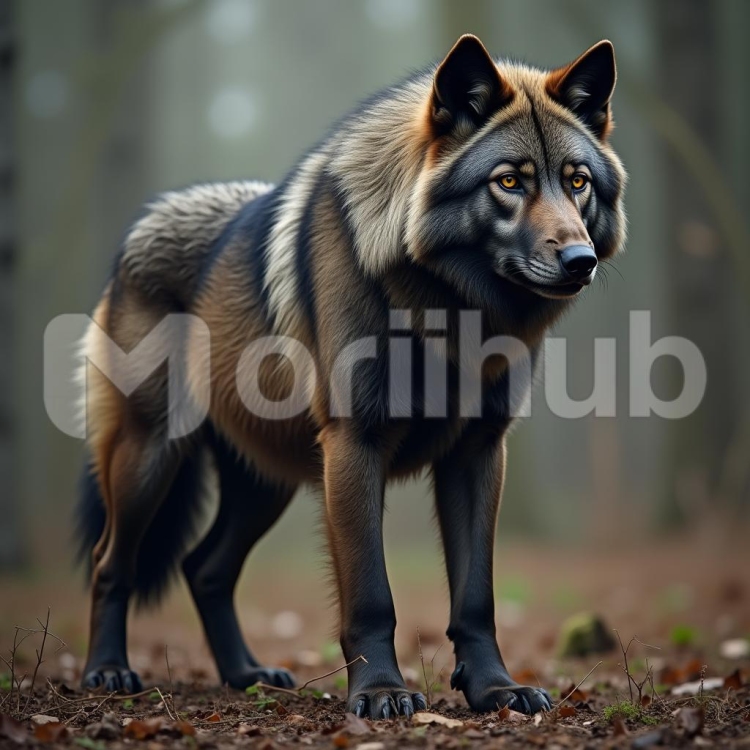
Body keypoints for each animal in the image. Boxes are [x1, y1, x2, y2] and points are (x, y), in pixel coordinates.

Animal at [76, 35, 626, 718]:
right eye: (508, 182)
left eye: (577, 182)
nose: (582, 260)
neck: (448, 314)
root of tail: (140, 228)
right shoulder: (354, 446)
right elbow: (370, 595)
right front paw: (382, 693)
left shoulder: (478, 453)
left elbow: (476, 597)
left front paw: (496, 689)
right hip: (150, 459)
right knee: (110, 562)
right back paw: (107, 671)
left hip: (266, 484)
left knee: (205, 568)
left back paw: (247, 675)